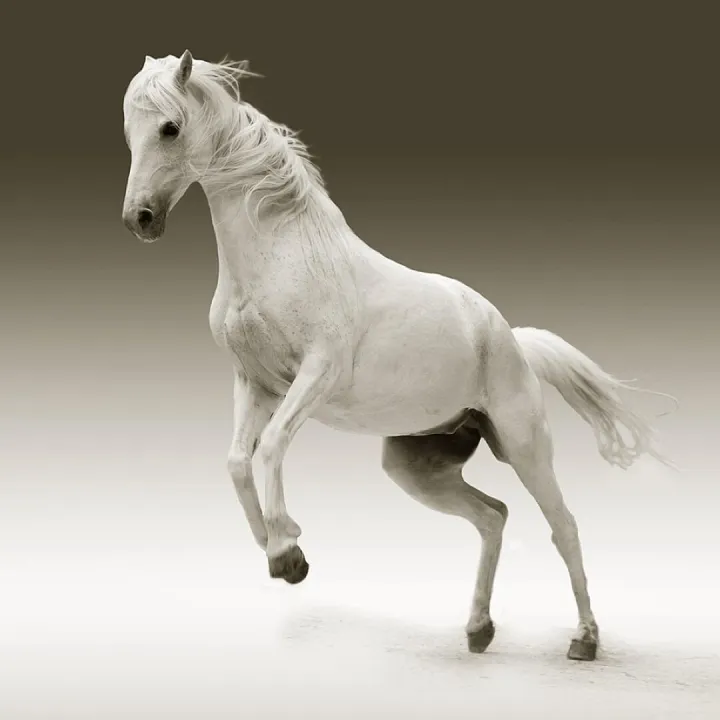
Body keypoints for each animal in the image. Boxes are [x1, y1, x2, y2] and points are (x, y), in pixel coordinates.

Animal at [121, 51, 676, 662]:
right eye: (129, 131)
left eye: (170, 128)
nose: (139, 219)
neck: (282, 255)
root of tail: (511, 339)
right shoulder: (255, 382)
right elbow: (237, 461)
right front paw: (279, 550)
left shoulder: (316, 374)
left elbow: (270, 448)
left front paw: (287, 552)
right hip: (416, 466)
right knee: (493, 516)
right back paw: (478, 629)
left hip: (525, 446)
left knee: (564, 527)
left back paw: (585, 639)